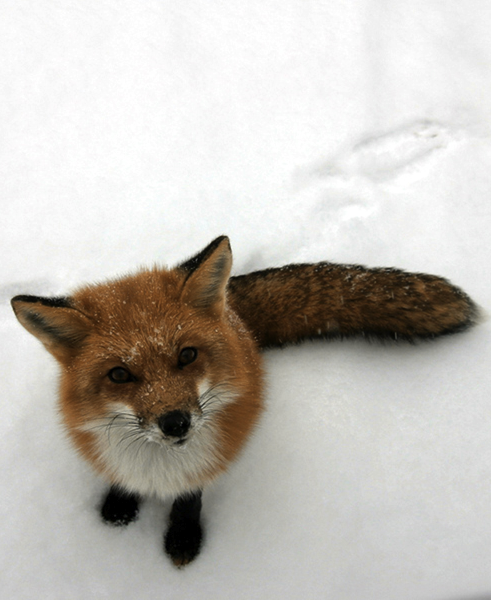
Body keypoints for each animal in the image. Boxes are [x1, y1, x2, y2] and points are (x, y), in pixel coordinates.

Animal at [12, 236, 480, 568]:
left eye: (187, 355)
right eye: (120, 375)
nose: (176, 422)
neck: (160, 469)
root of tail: (234, 313)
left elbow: (190, 497)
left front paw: (183, 537)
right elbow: (120, 481)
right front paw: (119, 507)